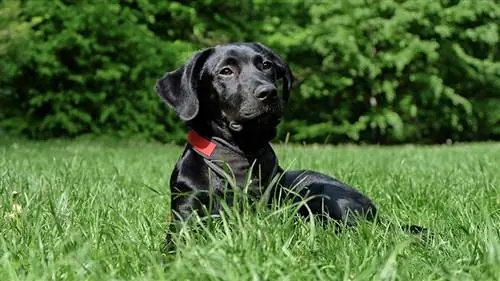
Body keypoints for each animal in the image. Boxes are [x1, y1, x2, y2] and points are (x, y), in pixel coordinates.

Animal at [155, 41, 422, 245]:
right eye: (226, 71)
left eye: (266, 65)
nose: (269, 92)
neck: (240, 154)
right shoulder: (185, 214)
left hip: (321, 193)